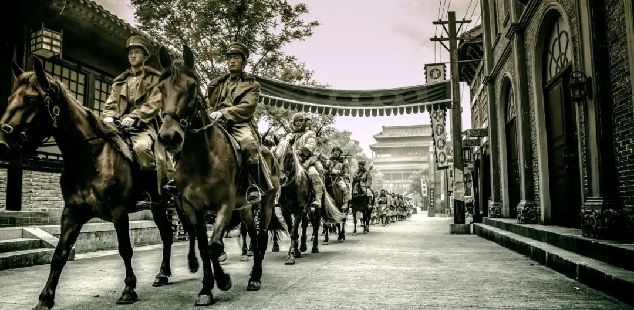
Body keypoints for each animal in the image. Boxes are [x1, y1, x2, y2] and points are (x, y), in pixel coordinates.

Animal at [0, 58, 198, 310]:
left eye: (32, 99)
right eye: (10, 97)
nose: (3, 142)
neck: (90, 157)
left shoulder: (119, 212)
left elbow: (125, 250)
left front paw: (129, 289)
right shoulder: (72, 212)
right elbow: (60, 254)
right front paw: (45, 298)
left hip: (177, 202)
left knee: (189, 230)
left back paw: (195, 263)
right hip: (158, 206)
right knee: (167, 234)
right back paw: (162, 274)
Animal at [154, 44, 282, 306]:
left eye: (192, 87)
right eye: (161, 88)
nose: (169, 136)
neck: (201, 159)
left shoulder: (225, 203)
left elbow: (214, 245)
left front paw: (223, 281)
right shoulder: (193, 207)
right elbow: (205, 246)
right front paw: (206, 288)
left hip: (265, 204)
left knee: (262, 237)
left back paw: (255, 277)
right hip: (245, 208)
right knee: (252, 236)